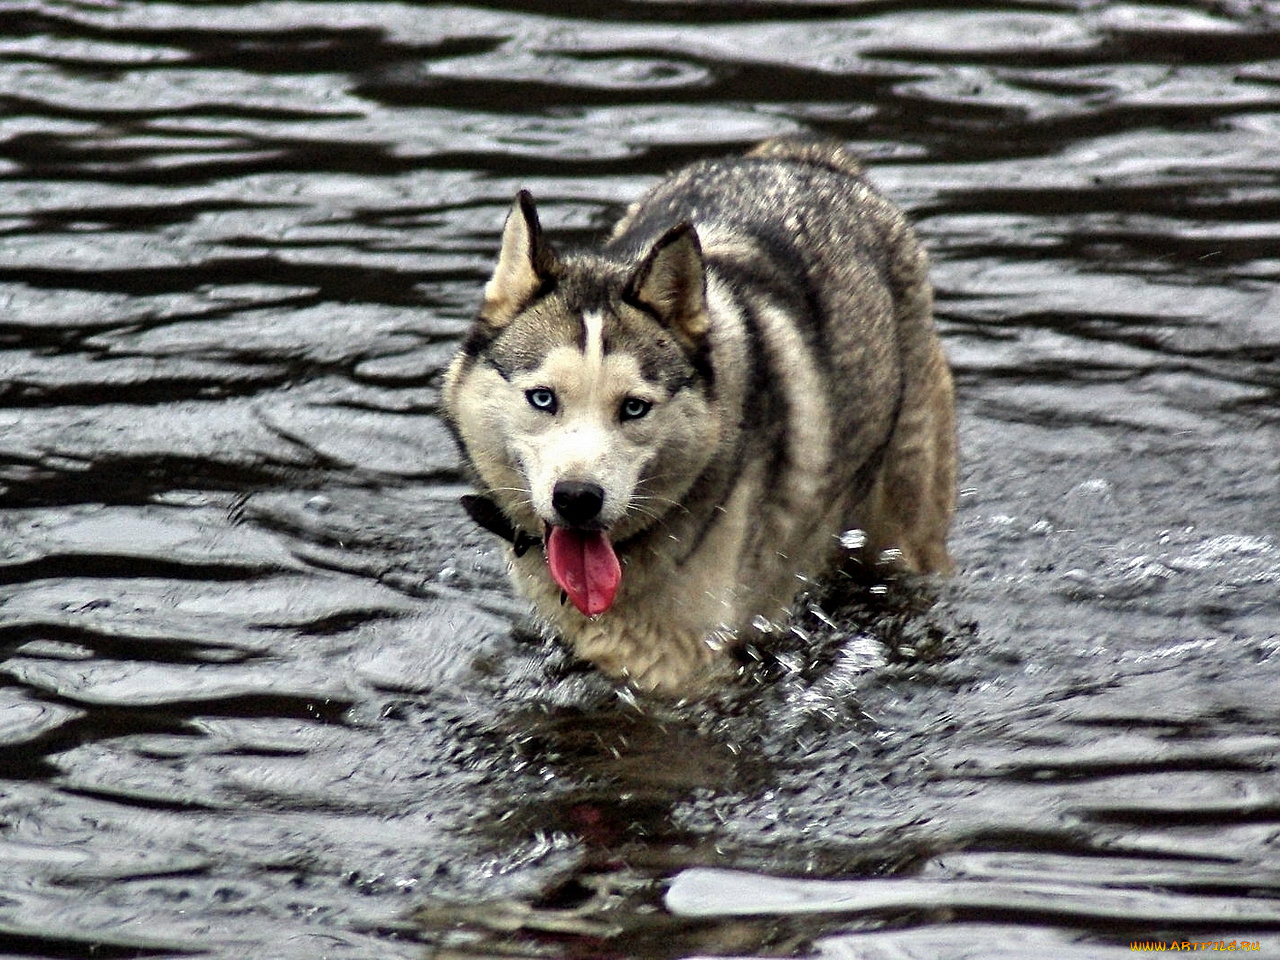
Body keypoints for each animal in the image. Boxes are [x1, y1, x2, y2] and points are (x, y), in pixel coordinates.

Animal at [445, 138, 957, 696]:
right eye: (543, 399)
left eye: (634, 407)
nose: (578, 499)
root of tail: (805, 157)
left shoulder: (690, 670)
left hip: (903, 530)